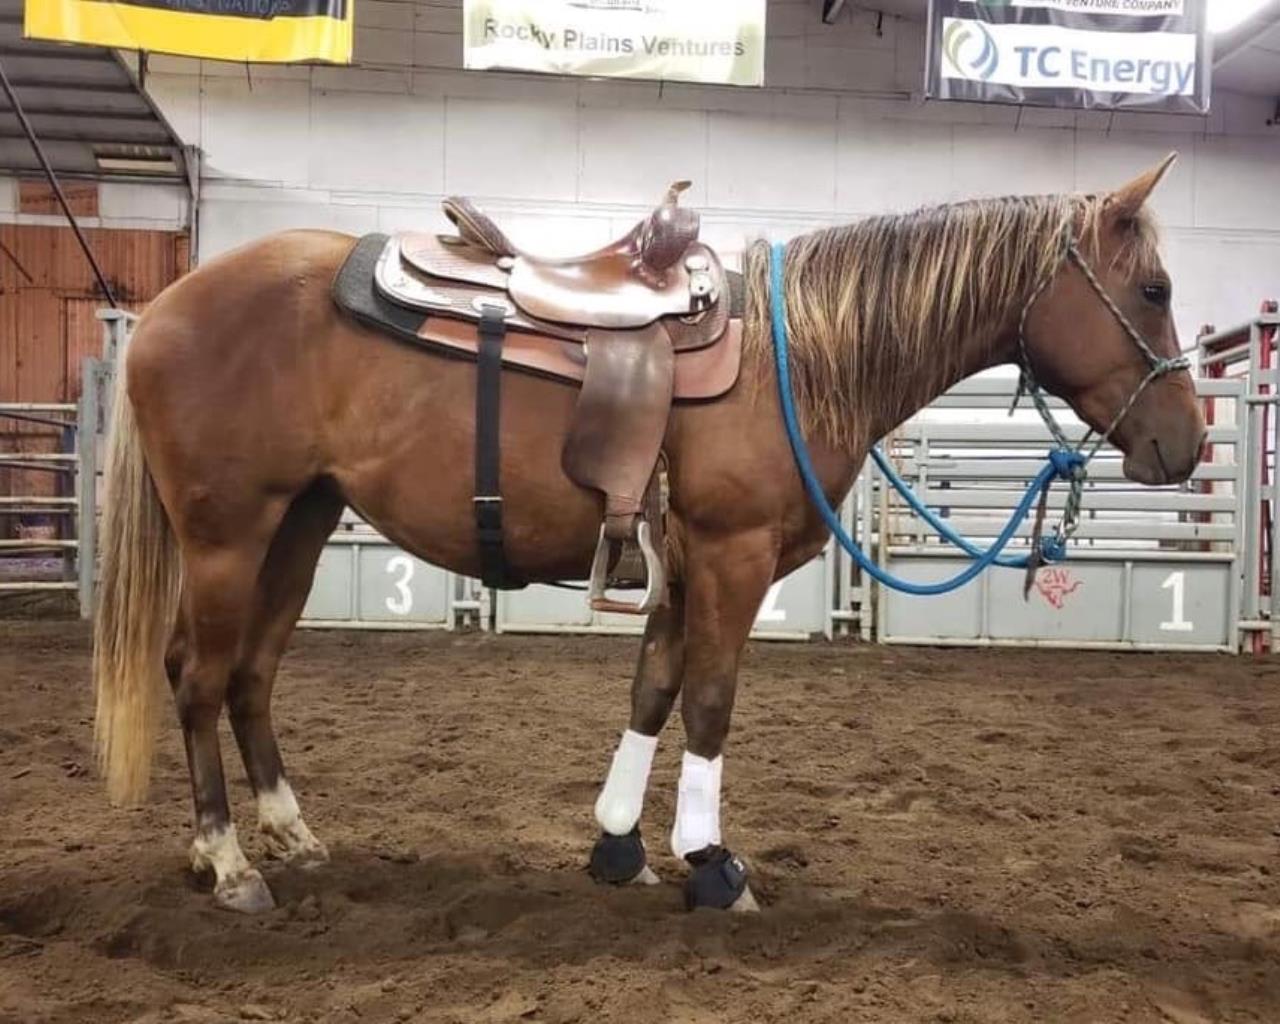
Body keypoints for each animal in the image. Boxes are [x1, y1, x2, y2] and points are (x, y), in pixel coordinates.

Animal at [91, 154, 1205, 914]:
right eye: (1152, 290)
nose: (1185, 443)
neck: (803, 355)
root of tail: (167, 304)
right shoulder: (731, 556)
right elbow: (709, 702)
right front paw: (713, 866)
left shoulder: (679, 563)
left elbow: (654, 690)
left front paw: (620, 847)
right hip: (229, 535)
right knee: (197, 676)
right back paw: (228, 860)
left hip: (301, 523)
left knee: (251, 675)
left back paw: (289, 834)